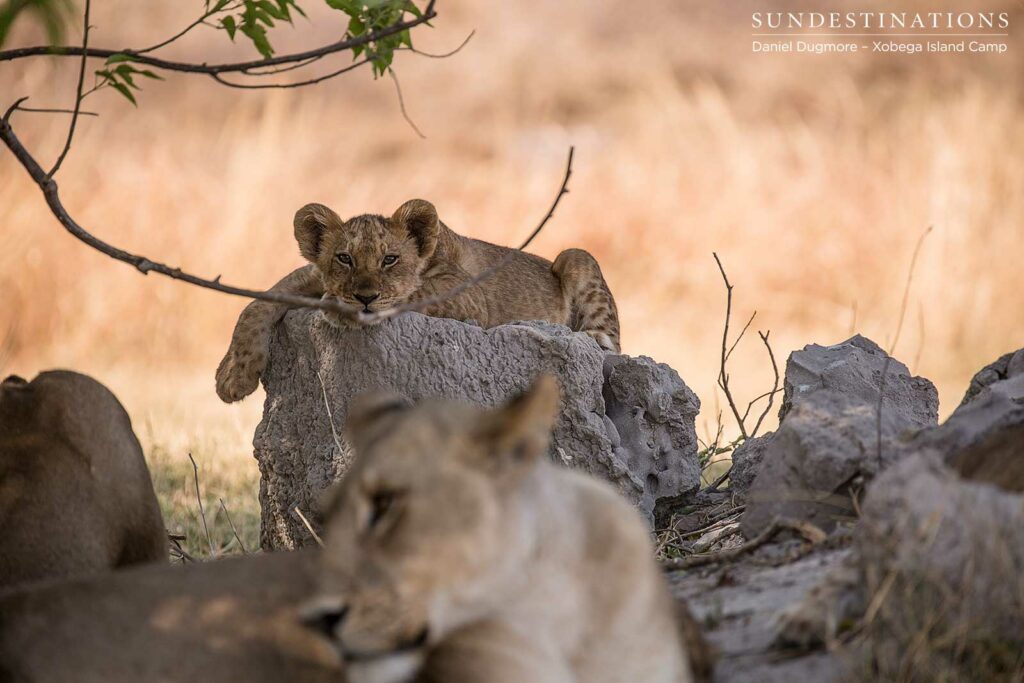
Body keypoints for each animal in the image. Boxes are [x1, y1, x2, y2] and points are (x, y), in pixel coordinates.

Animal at [215, 200, 620, 402]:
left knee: (609, 341)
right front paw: (231, 377)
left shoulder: (470, 296)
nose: (364, 297)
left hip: (575, 256)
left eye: (390, 259)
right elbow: (259, 301)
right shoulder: (312, 276)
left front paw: (345, 310)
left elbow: (413, 293)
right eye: (344, 258)